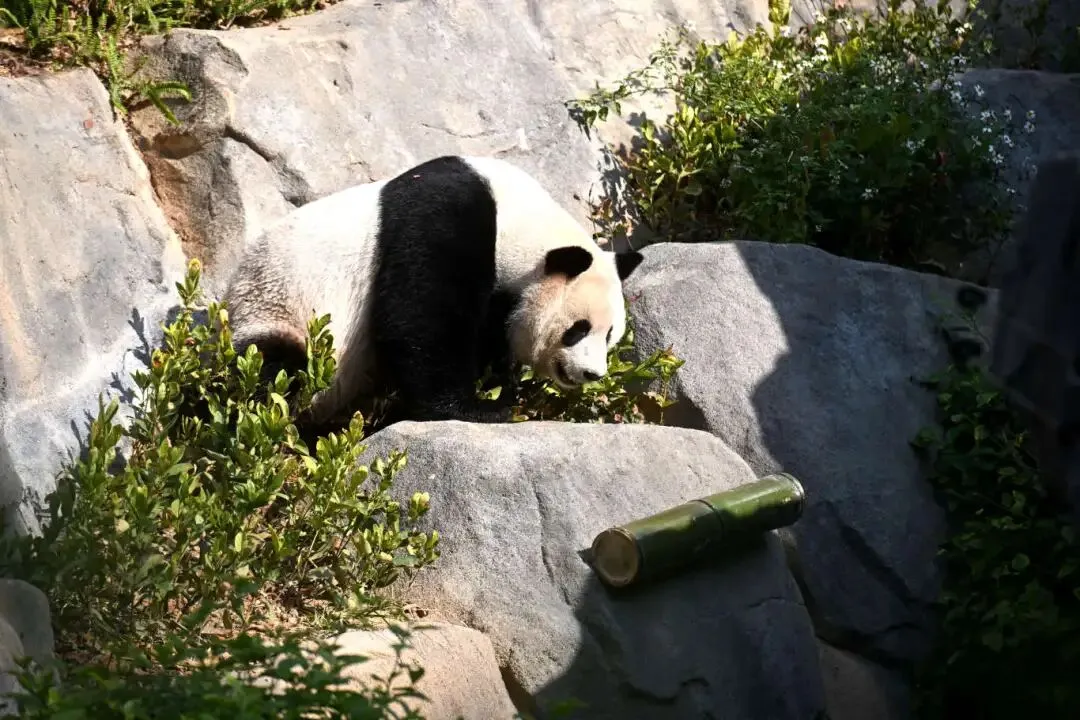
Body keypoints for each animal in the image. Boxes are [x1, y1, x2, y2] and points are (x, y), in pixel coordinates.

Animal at [222, 154, 644, 432]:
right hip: (274, 310)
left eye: (610, 335)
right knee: (272, 369)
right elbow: (420, 318)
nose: (591, 373)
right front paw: (478, 407)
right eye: (578, 329)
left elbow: (490, 334)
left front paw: (498, 389)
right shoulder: (443, 219)